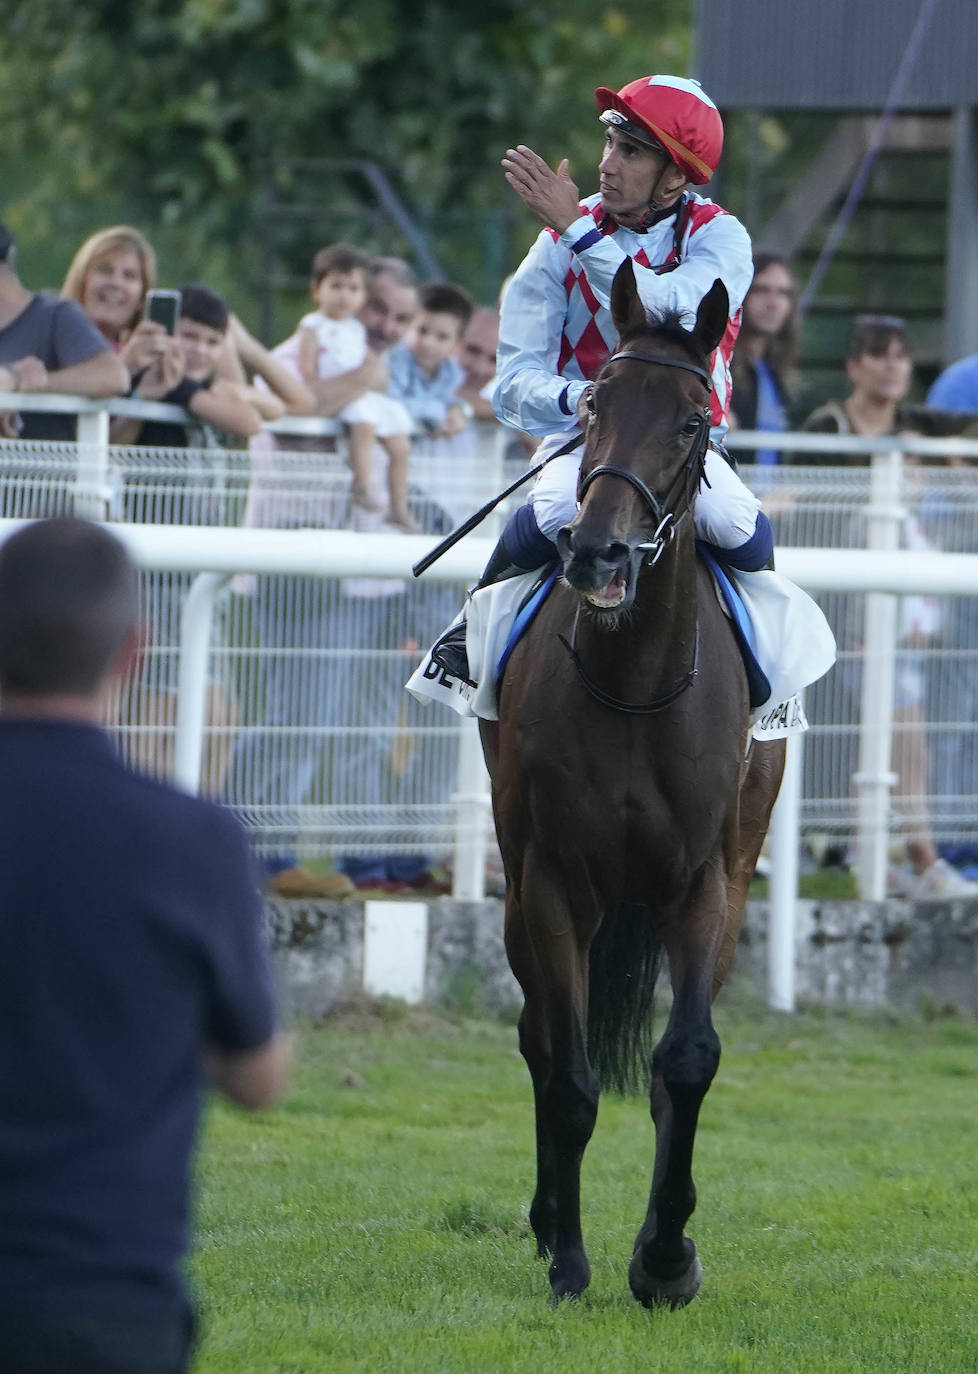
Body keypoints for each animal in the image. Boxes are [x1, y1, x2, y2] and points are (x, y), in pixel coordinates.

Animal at [480, 259, 785, 1308]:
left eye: (694, 422)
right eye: (594, 403)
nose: (598, 553)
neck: (635, 683)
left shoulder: (702, 882)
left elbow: (685, 1059)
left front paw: (664, 1257)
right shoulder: (553, 881)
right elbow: (569, 1077)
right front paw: (570, 1258)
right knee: (538, 1038)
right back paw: (544, 1223)